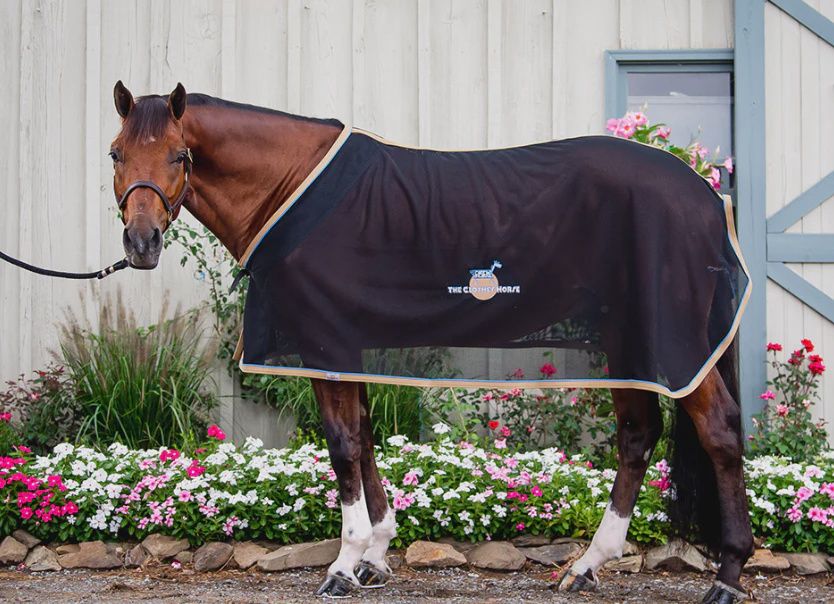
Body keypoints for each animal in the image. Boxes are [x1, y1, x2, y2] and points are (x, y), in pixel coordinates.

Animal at [110, 81, 753, 603]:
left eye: (179, 155)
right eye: (117, 153)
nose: (141, 244)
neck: (292, 186)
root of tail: (707, 194)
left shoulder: (327, 345)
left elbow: (343, 445)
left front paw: (342, 566)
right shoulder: (350, 347)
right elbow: (365, 439)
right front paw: (374, 556)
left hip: (668, 345)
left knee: (718, 431)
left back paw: (726, 577)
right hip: (628, 342)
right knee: (637, 436)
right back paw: (586, 566)